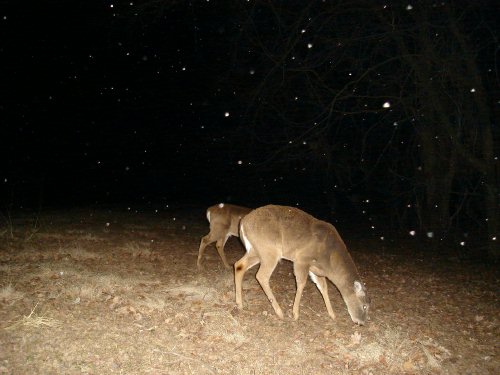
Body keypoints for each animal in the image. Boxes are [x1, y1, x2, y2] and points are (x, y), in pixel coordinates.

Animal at [232, 206, 370, 326]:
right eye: (365, 306)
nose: (361, 323)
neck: (330, 260)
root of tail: (243, 222)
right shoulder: (302, 259)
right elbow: (301, 283)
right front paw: (295, 314)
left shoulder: (316, 269)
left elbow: (323, 287)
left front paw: (332, 314)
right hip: (269, 249)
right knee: (261, 276)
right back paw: (279, 312)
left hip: (257, 250)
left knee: (239, 265)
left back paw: (239, 304)